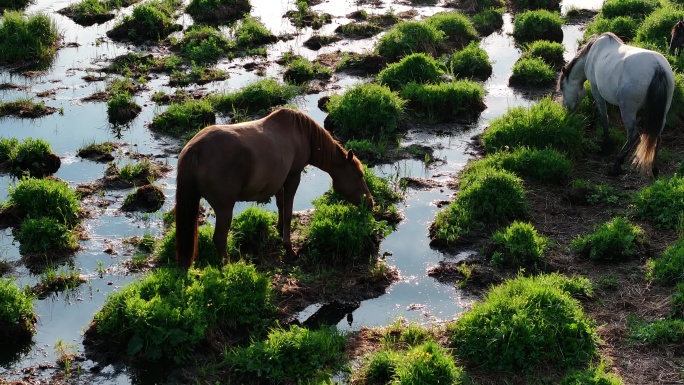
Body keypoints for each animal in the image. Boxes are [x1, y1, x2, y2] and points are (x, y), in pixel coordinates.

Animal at [174, 106, 372, 268]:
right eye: (359, 175)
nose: (370, 203)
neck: (301, 134)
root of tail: (195, 149)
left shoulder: (279, 179)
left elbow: (281, 205)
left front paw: (279, 229)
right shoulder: (293, 176)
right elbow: (288, 212)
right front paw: (289, 249)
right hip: (224, 208)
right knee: (220, 239)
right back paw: (228, 266)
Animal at [560, 33, 676, 177]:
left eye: (562, 87)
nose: (566, 109)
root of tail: (658, 67)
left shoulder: (595, 89)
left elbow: (603, 117)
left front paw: (606, 145)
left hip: (627, 110)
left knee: (633, 135)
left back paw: (617, 164)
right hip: (662, 111)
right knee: (657, 137)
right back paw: (654, 168)